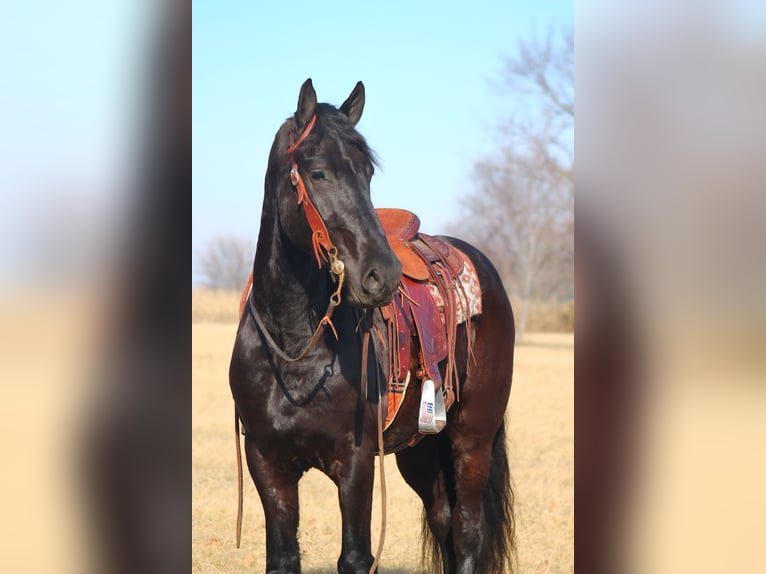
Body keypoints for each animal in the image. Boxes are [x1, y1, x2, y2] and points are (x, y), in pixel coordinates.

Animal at [230, 79, 516, 572]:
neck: (295, 349)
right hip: (422, 449)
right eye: (318, 172)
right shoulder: (266, 461)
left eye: (367, 174)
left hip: (472, 438)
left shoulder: (356, 461)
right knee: (444, 522)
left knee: (468, 532)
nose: (382, 274)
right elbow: (283, 557)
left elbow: (356, 557)